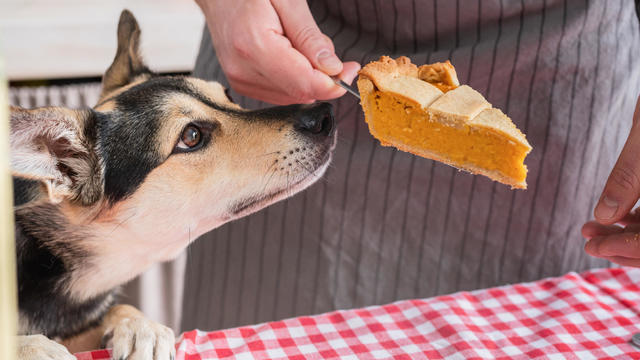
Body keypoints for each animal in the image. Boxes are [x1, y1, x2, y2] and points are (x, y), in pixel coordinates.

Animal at [12, 9, 338, 360]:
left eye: (228, 96)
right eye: (191, 136)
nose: (325, 115)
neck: (48, 259)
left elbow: (116, 311)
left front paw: (141, 326)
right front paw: (36, 347)